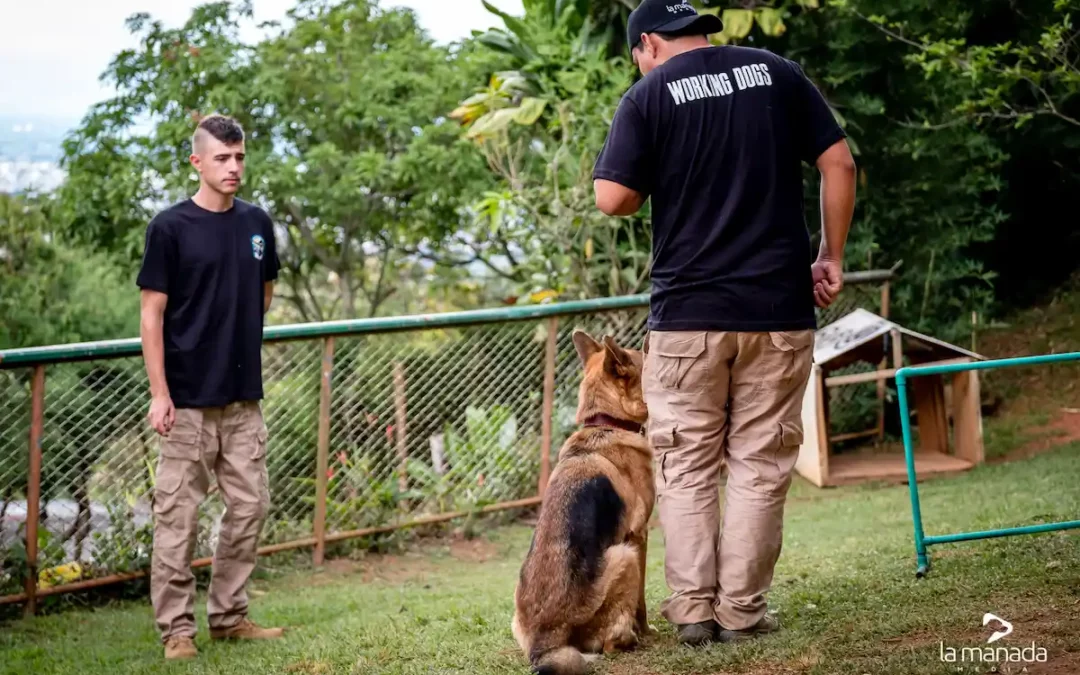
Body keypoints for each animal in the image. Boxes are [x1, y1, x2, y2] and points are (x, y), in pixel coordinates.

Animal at [509, 332, 652, 673]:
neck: (605, 423)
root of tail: (544, 644)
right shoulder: (640, 537)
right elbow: (641, 603)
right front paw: (647, 630)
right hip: (624, 556)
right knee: (610, 644)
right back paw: (629, 641)